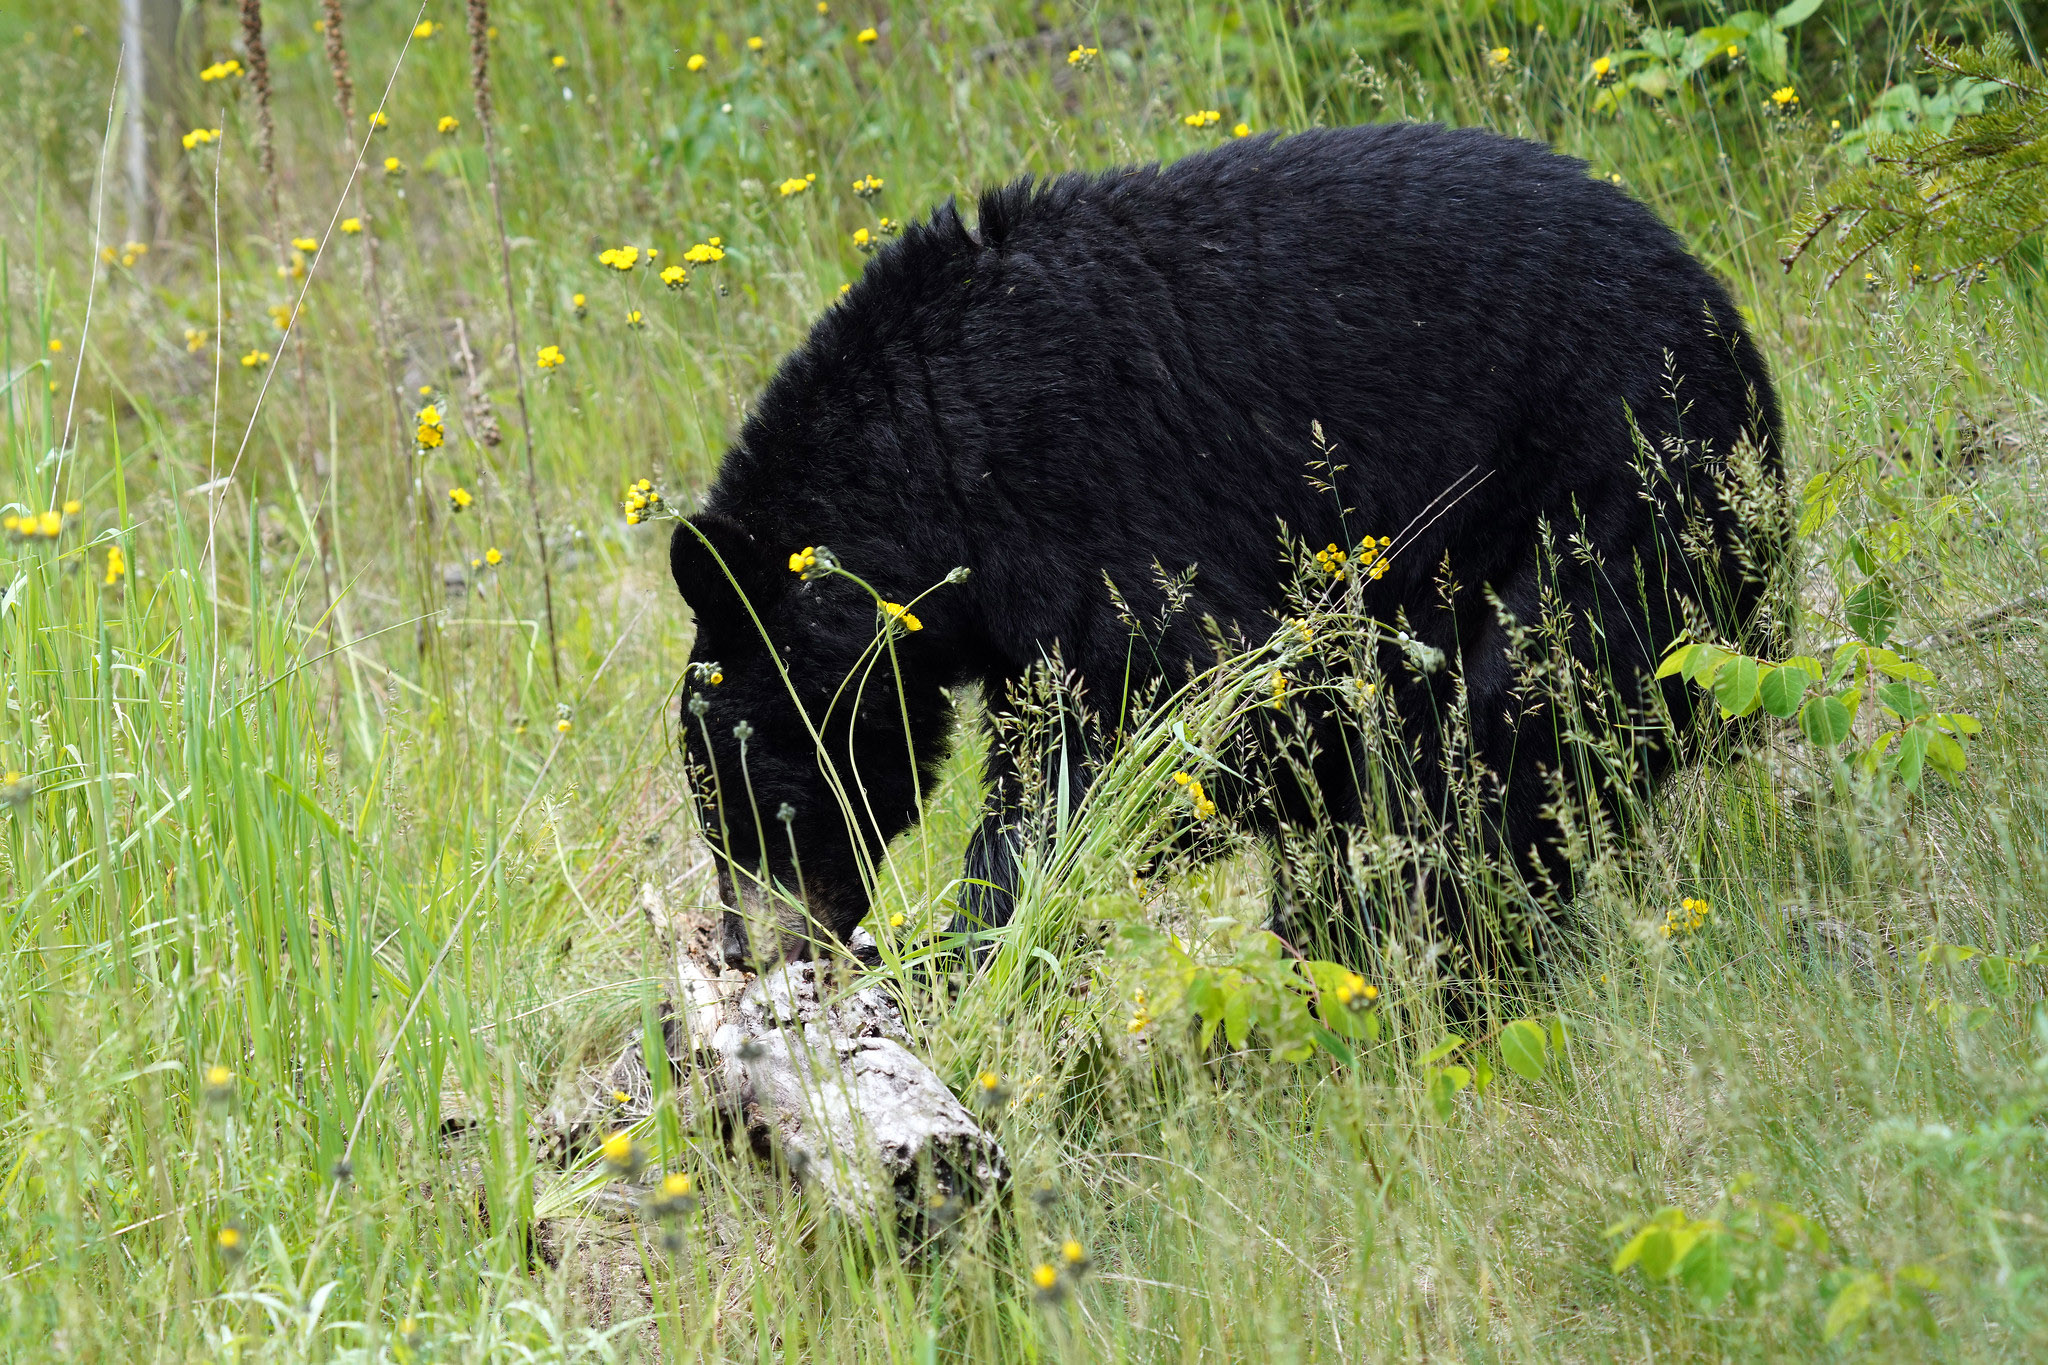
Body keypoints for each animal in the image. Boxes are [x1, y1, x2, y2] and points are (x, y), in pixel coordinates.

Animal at [671, 120, 1777, 970]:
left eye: (739, 807)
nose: (749, 951)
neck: (933, 454)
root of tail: (1723, 325)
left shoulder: (1086, 501)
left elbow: (1182, 715)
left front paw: (977, 937)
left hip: (1601, 491)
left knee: (1517, 732)